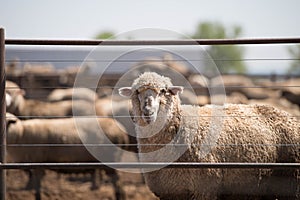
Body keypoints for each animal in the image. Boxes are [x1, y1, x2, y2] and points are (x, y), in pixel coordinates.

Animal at [118, 72, 298, 200]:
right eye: (136, 92)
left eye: (163, 91)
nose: (147, 111)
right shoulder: (170, 191)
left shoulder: (204, 189)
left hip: (292, 181)